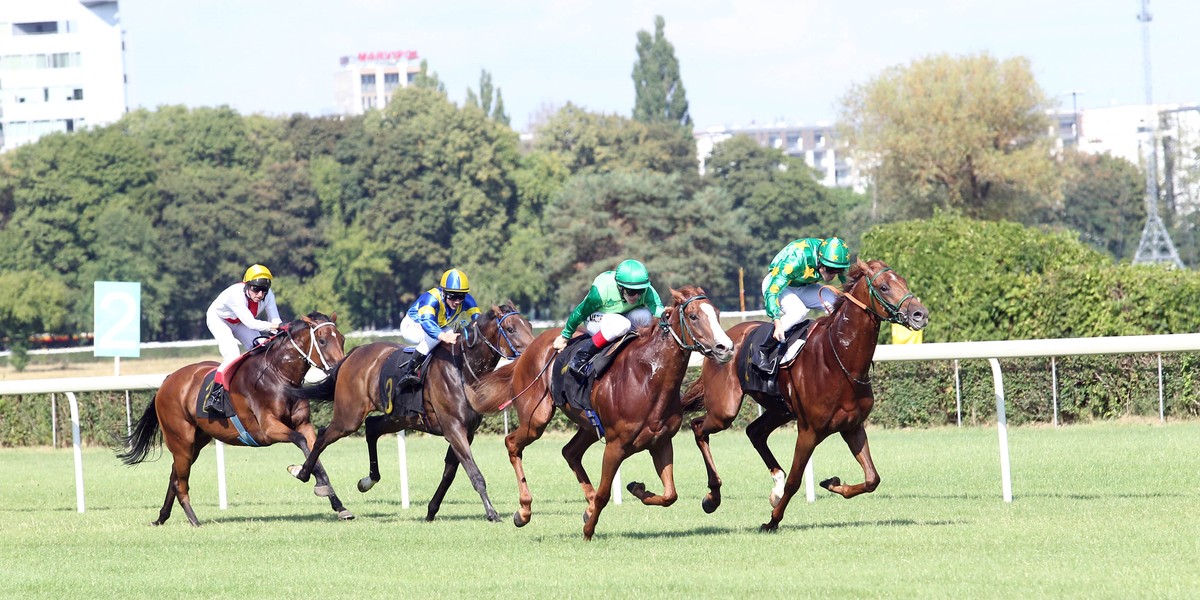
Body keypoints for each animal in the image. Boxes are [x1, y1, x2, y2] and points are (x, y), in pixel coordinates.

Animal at [116, 312, 348, 528]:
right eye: (322, 340)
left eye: (342, 338)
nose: (340, 370)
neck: (278, 376)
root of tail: (167, 381)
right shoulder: (268, 429)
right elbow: (301, 442)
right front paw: (301, 472)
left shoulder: (304, 424)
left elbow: (314, 452)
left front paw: (338, 505)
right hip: (181, 440)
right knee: (180, 482)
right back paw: (194, 520)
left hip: (196, 442)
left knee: (174, 475)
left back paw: (161, 517)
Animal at [283, 304, 532, 520]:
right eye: (510, 328)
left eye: (529, 324)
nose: (531, 351)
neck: (462, 368)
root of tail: (352, 354)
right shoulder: (454, 428)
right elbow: (474, 473)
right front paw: (492, 513)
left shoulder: (465, 431)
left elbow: (450, 473)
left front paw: (431, 511)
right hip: (349, 416)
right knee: (323, 436)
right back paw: (304, 474)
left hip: (399, 418)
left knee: (372, 428)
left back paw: (368, 480)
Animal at [475, 285, 734, 540]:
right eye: (693, 316)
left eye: (717, 313)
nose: (726, 348)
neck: (647, 378)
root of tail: (530, 348)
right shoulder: (615, 446)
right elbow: (604, 494)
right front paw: (588, 531)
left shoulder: (661, 442)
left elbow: (670, 495)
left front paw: (636, 488)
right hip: (535, 419)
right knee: (512, 443)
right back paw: (524, 511)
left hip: (588, 425)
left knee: (570, 452)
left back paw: (585, 507)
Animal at [686, 260, 926, 532]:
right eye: (884, 287)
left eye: (903, 281)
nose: (920, 314)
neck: (839, 360)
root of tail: (721, 342)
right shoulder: (809, 431)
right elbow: (795, 480)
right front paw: (772, 520)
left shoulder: (852, 426)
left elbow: (872, 478)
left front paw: (831, 483)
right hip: (724, 409)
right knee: (698, 427)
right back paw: (712, 497)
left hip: (780, 409)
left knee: (754, 432)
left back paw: (774, 486)